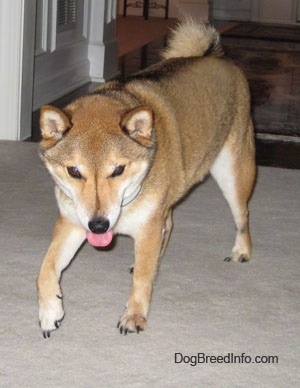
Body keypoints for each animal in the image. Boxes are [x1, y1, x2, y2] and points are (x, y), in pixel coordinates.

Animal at [36, 20, 254, 336]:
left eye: (118, 169)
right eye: (74, 171)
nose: (99, 226)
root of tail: (216, 57)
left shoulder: (148, 225)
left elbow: (140, 280)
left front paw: (134, 315)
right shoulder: (72, 223)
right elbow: (45, 268)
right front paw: (50, 311)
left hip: (232, 173)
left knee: (242, 216)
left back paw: (242, 251)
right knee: (170, 224)